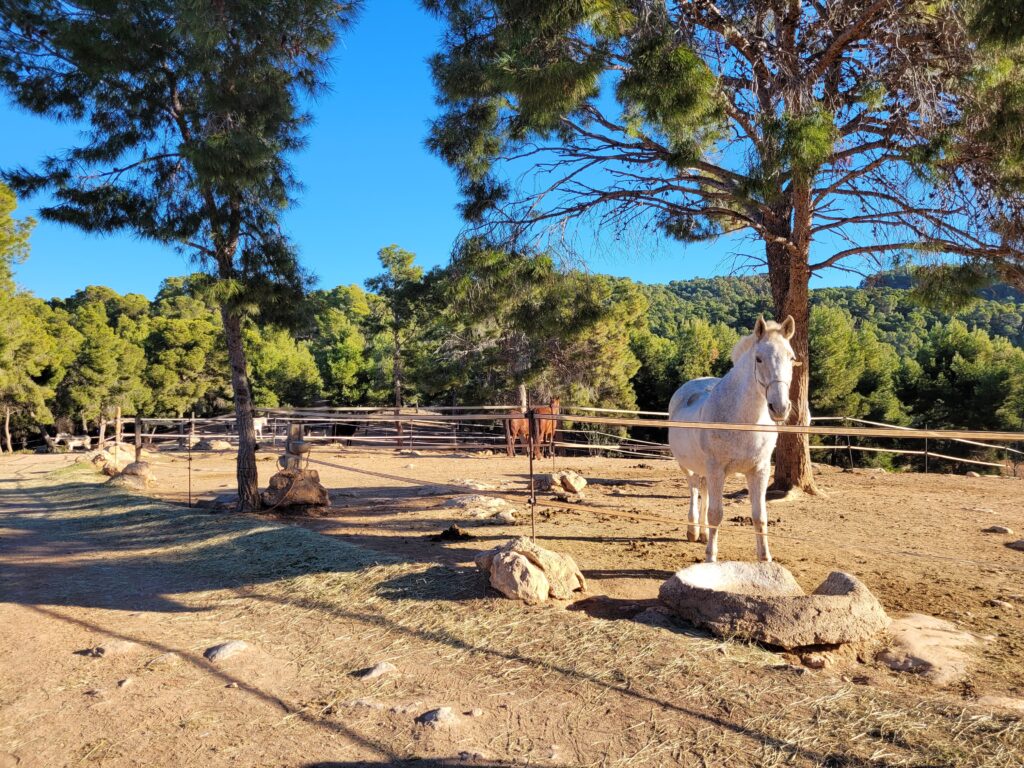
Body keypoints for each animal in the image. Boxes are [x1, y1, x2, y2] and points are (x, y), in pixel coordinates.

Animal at [667, 315, 802, 561]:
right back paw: (693, 530)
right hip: (688, 466)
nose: (780, 408)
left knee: (703, 490)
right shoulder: (716, 469)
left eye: (791, 357)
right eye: (758, 358)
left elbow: (759, 516)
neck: (743, 421)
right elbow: (716, 514)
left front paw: (765, 559)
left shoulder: (759, 471)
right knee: (693, 489)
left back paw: (702, 534)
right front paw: (711, 558)